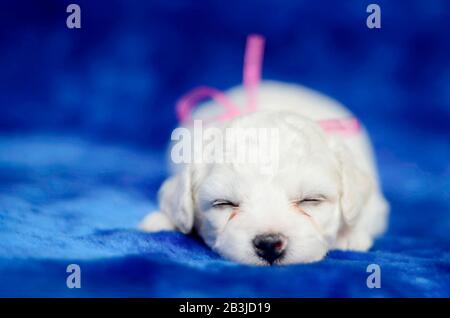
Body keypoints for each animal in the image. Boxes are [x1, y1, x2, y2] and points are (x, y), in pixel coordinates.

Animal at [139, 80, 388, 264]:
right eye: (224, 203)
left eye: (311, 200)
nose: (269, 244)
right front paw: (162, 219)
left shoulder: (375, 202)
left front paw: (349, 235)